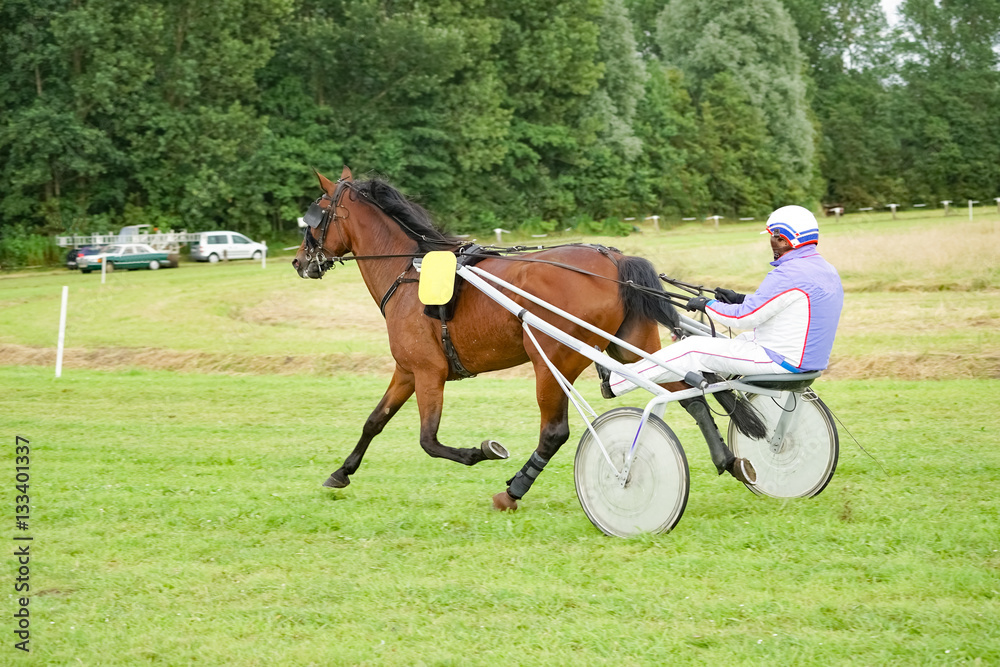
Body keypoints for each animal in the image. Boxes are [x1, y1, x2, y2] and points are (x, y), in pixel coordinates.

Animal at [292, 167, 760, 512]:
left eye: (315, 214)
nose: (299, 261)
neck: (410, 272)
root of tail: (616, 259)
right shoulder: (406, 370)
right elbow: (374, 421)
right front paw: (341, 472)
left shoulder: (428, 371)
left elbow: (429, 440)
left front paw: (483, 450)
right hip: (631, 348)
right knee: (691, 393)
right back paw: (728, 460)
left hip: (551, 357)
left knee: (554, 432)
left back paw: (514, 489)